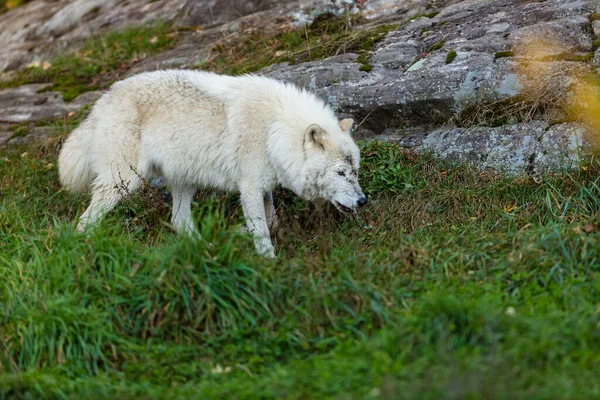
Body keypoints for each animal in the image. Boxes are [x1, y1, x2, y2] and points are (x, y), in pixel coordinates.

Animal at [58, 69, 366, 256]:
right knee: (85, 221)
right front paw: (267, 259)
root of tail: (100, 104)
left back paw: (208, 249)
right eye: (340, 173)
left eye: (355, 171)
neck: (275, 129)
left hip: (183, 182)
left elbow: (271, 220)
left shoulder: (263, 185)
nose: (363, 201)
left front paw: (240, 233)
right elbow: (263, 227)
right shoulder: (249, 187)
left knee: (179, 221)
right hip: (123, 183)